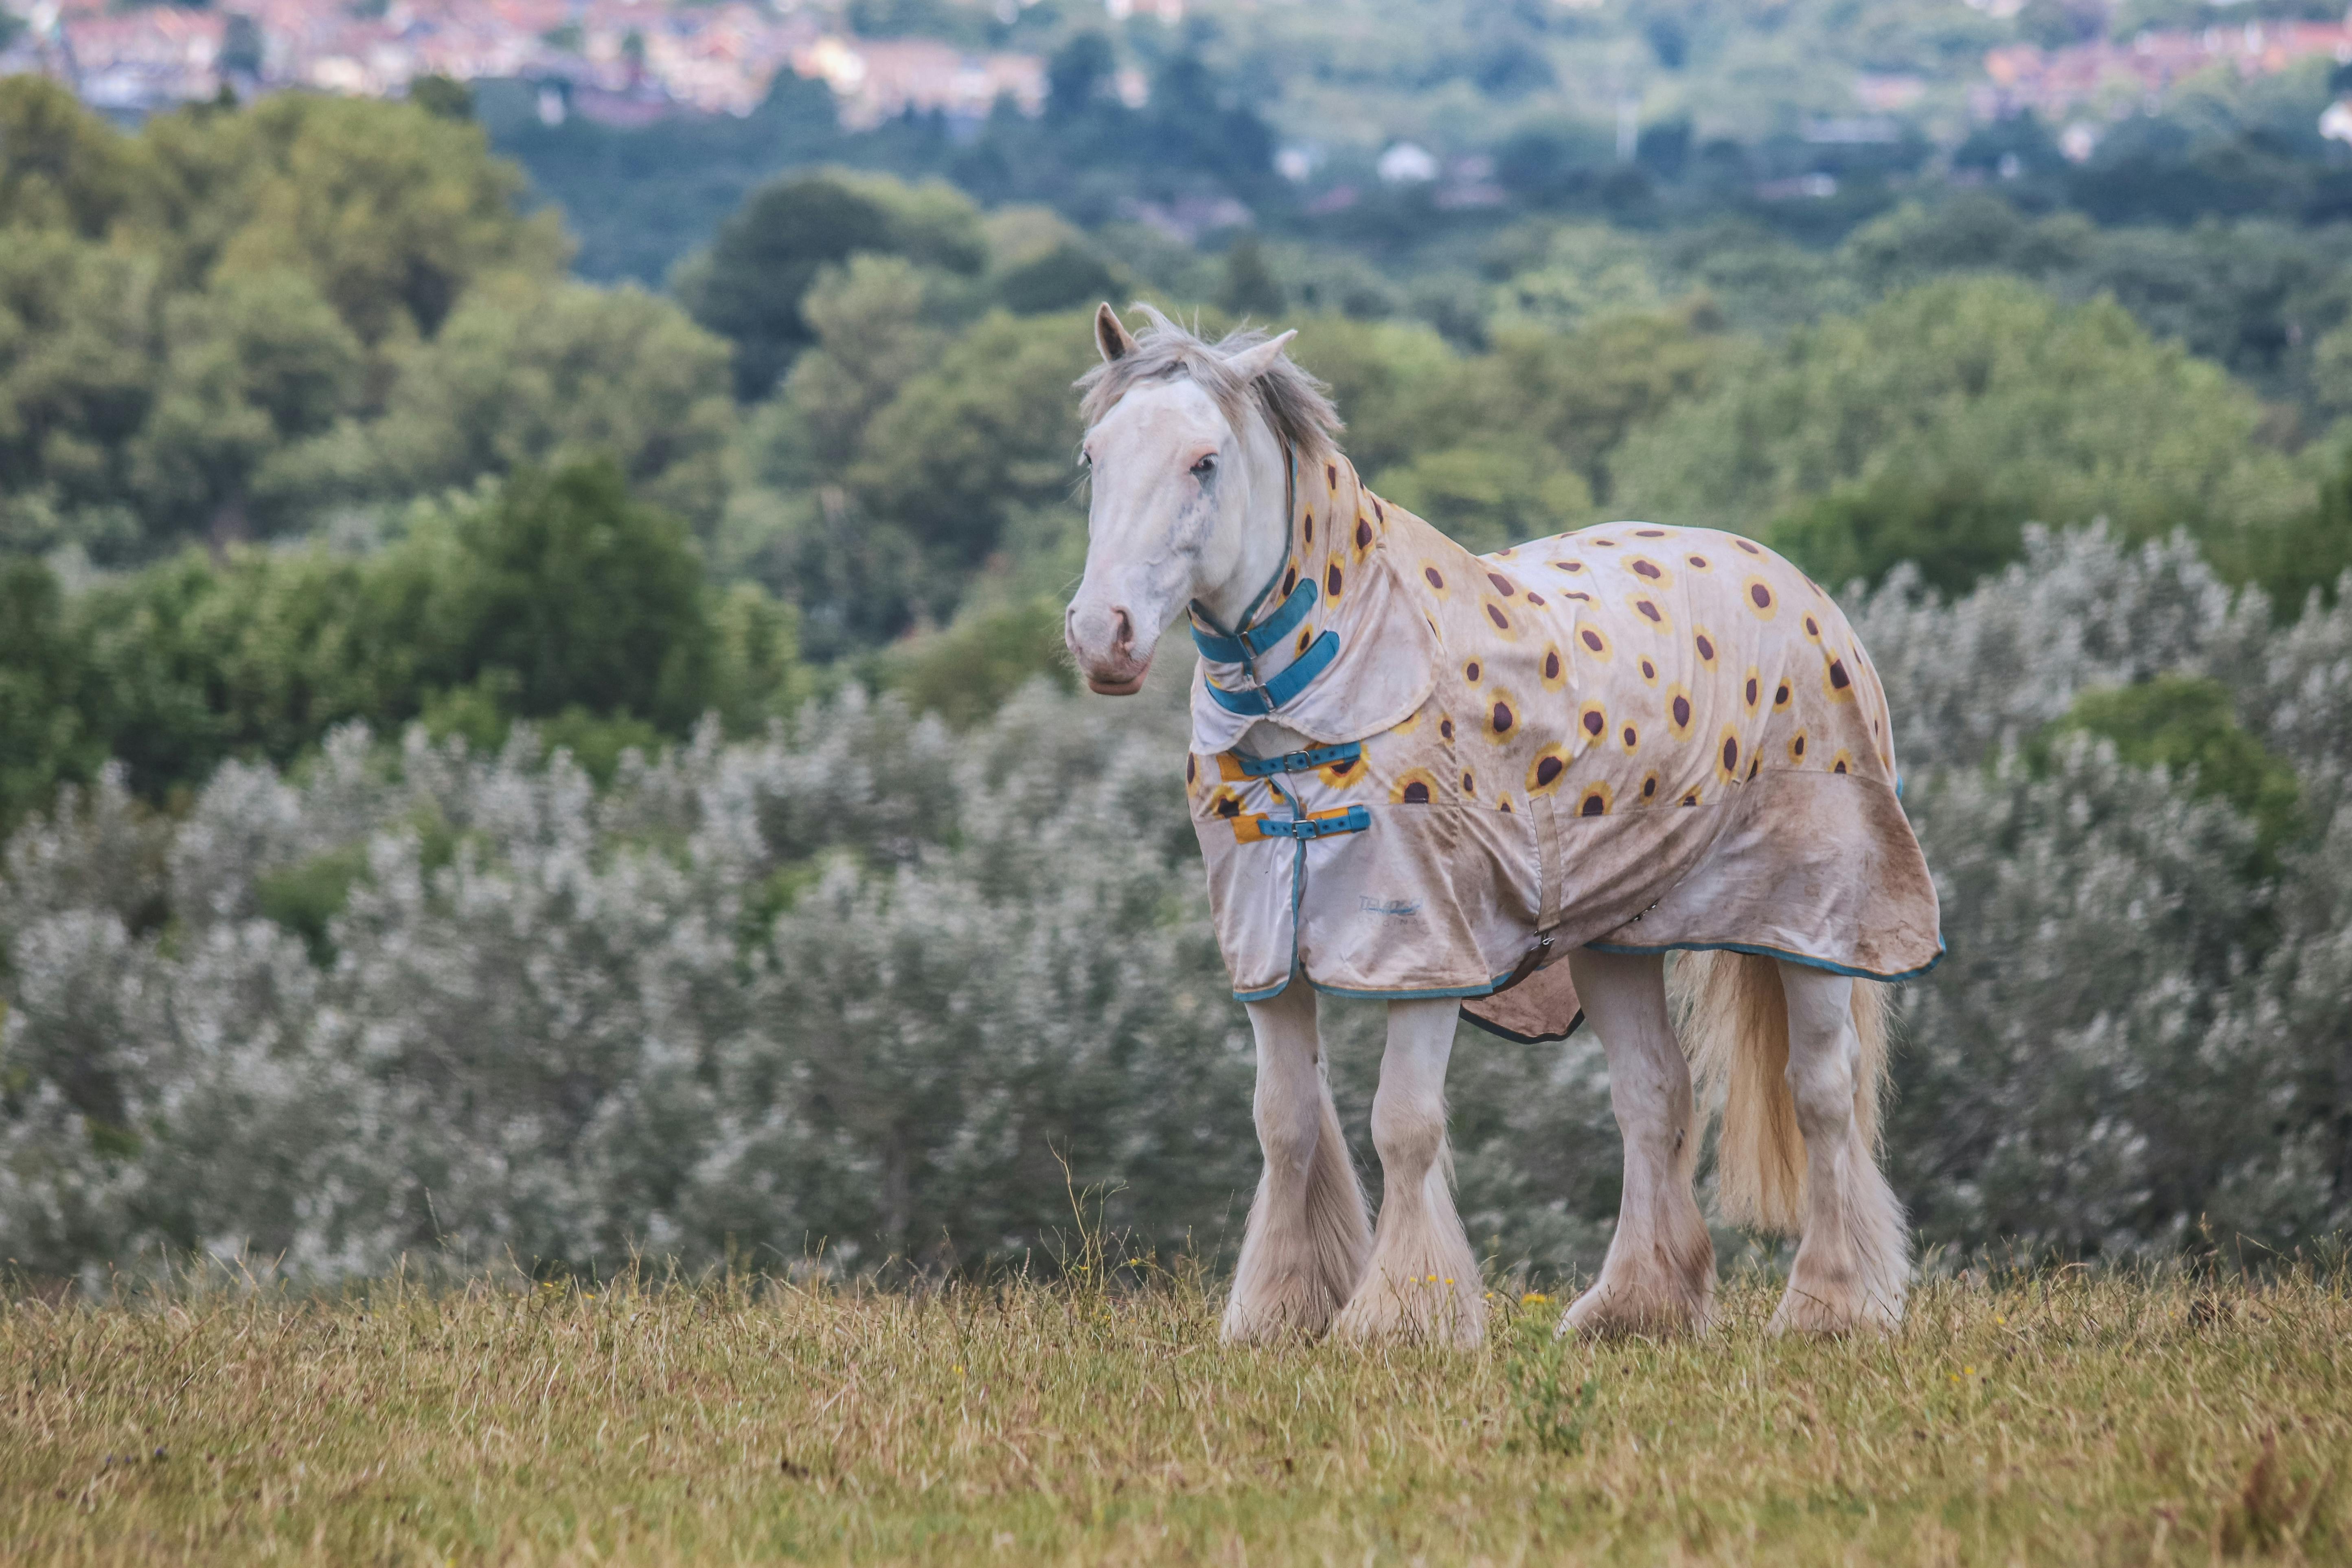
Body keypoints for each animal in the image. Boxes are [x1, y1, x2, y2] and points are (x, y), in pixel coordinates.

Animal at [1064, 304, 1942, 1346]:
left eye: (1202, 462)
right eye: (1092, 456)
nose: (1102, 637)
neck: (1321, 690)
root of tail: (1803, 590)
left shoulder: (1427, 947)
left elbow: (1403, 1123)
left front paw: (1398, 1315)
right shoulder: (1266, 950)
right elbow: (1284, 1121)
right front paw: (1280, 1309)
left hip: (1812, 924)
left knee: (1821, 1093)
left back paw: (1829, 1304)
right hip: (1616, 938)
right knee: (1653, 1095)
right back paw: (1634, 1304)